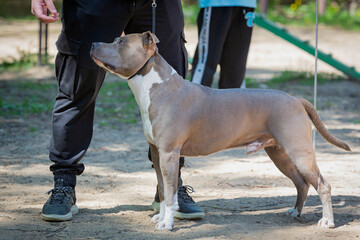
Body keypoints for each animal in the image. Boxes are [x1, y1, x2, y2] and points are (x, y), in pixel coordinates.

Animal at [90, 31, 352, 231]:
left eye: (121, 42)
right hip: (280, 153)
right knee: (302, 183)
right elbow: (164, 192)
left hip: (298, 151)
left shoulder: (169, 154)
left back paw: (327, 221)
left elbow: (172, 193)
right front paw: (161, 217)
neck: (157, 86)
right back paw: (295, 212)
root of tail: (295, 99)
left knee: (322, 185)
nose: (92, 43)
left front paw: (167, 224)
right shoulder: (157, 153)